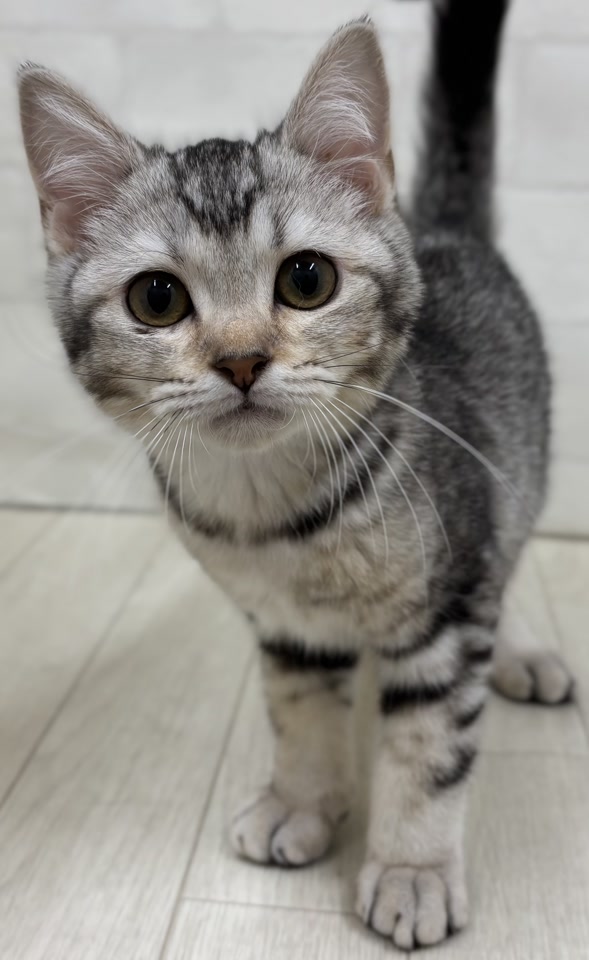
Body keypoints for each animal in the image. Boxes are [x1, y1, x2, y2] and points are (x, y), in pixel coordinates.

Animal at [18, 0, 573, 949]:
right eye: (156, 300)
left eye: (306, 280)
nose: (241, 359)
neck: (274, 521)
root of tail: (444, 227)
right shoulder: (286, 627)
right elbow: (300, 714)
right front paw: (302, 803)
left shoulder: (442, 612)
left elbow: (426, 748)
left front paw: (412, 872)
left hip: (506, 486)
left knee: (505, 558)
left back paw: (524, 652)